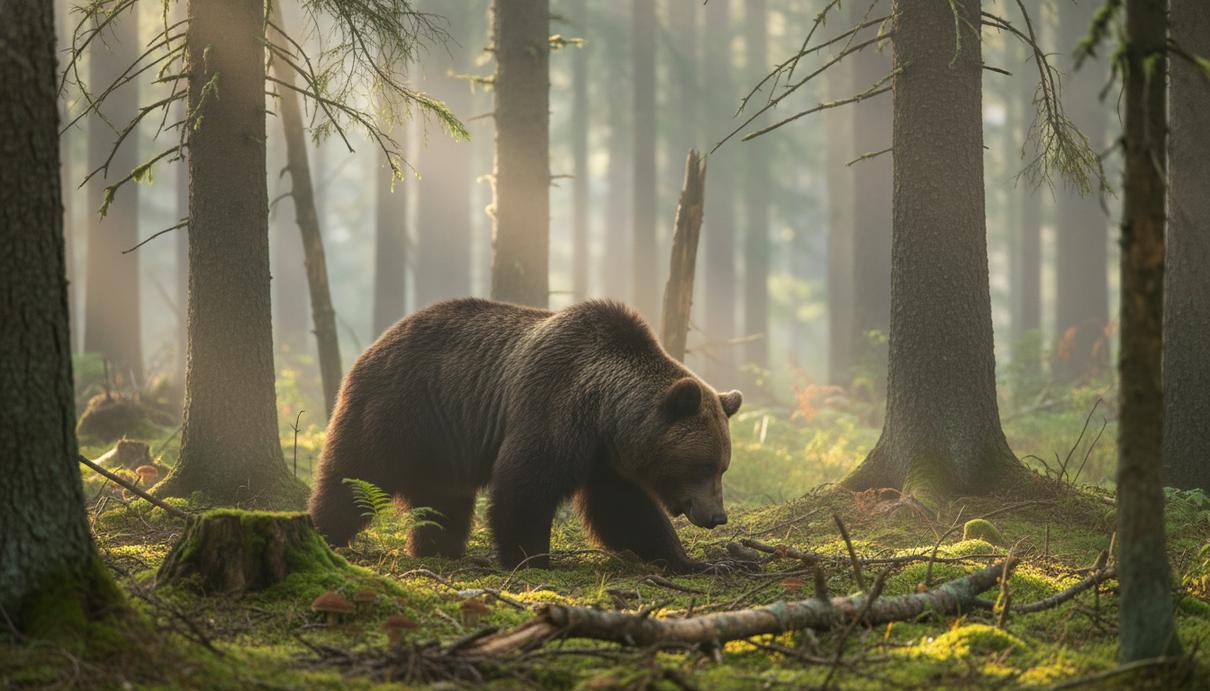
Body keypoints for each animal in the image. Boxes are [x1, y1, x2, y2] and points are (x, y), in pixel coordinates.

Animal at [308, 298, 742, 572]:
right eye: (703, 466)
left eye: (723, 466)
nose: (716, 516)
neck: (603, 415)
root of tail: (377, 340)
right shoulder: (553, 406)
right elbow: (524, 484)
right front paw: (532, 558)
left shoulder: (604, 461)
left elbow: (627, 511)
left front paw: (697, 561)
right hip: (400, 408)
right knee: (354, 474)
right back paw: (325, 531)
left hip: (443, 442)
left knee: (444, 500)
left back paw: (439, 550)